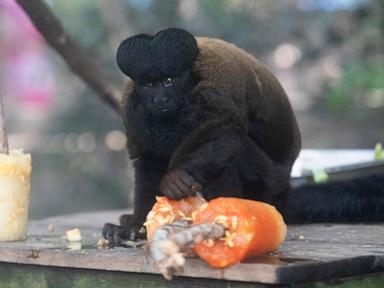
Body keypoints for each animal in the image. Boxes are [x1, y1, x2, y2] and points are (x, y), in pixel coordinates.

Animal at [103, 28, 384, 246]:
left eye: (169, 80)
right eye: (150, 85)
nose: (160, 99)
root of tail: (283, 189)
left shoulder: (214, 87)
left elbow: (225, 127)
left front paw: (175, 179)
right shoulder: (131, 108)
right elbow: (146, 160)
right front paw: (134, 226)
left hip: (267, 182)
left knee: (232, 151)